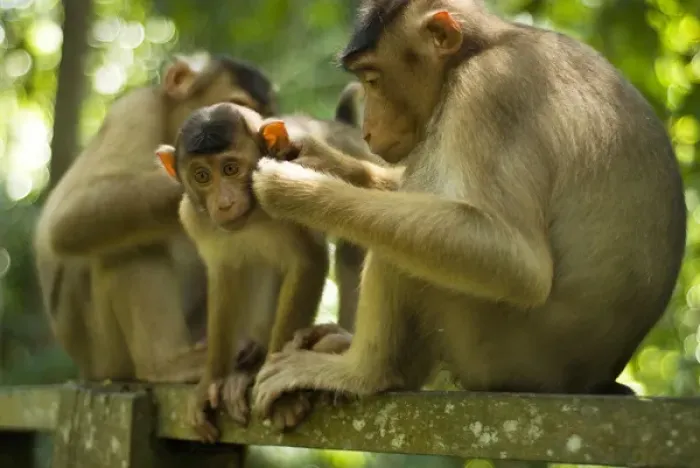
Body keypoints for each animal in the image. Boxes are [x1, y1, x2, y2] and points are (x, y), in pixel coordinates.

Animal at [33, 53, 279, 384]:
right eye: (237, 108)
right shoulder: (135, 111)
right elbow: (67, 219)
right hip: (104, 353)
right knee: (122, 243)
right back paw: (168, 365)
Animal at [155, 84, 380, 440]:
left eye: (230, 169)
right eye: (202, 175)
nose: (224, 203)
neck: (254, 215)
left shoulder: (287, 186)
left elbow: (308, 261)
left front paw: (281, 394)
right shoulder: (195, 218)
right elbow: (224, 276)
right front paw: (211, 381)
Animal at [248, 0, 686, 424]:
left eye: (372, 79)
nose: (369, 128)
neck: (488, 44)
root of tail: (591, 380)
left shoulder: (489, 90)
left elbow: (514, 260)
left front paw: (294, 189)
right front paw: (315, 158)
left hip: (498, 349)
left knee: (406, 252)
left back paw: (364, 373)